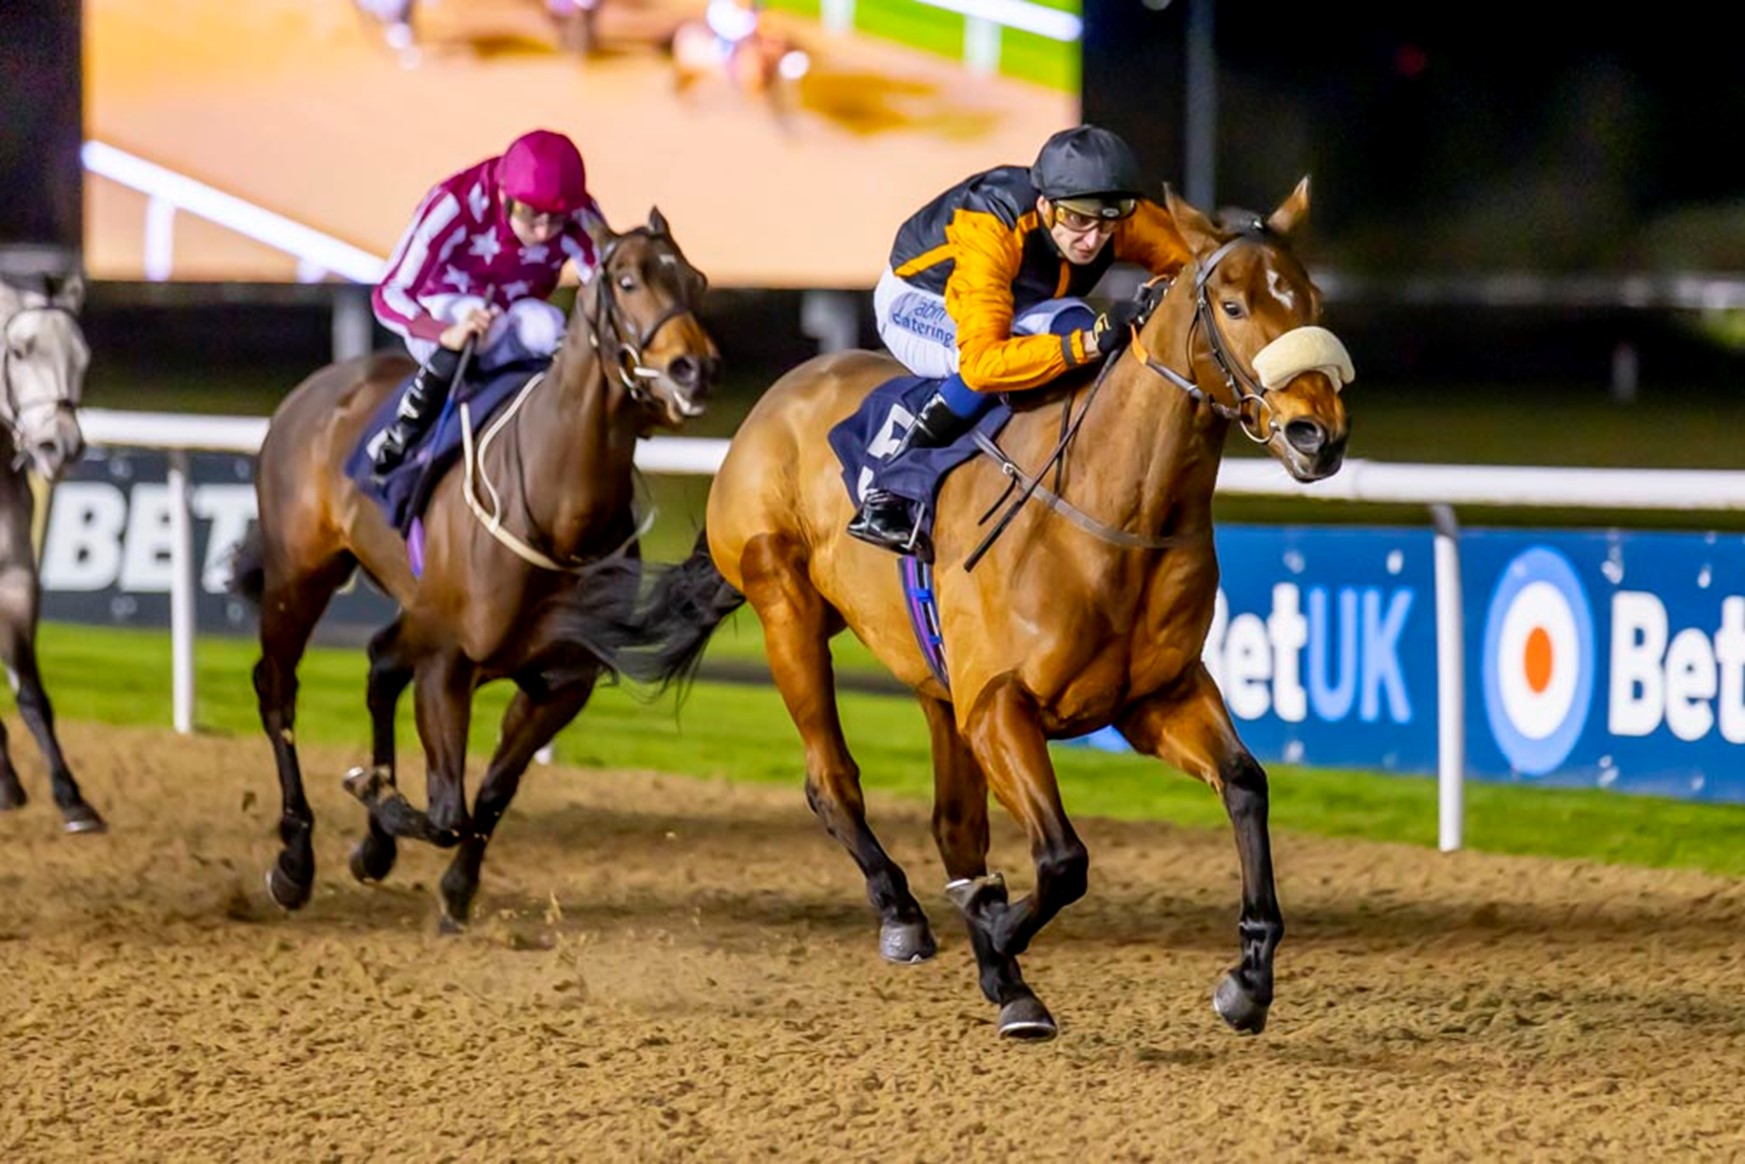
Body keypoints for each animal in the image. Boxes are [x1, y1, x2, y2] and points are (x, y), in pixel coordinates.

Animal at [228, 209, 718, 928]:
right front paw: (374, 798)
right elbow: (446, 812)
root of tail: (314, 390)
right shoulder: (449, 666)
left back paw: (371, 844)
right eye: (627, 280)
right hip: (301, 576)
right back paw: (295, 858)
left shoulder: (558, 681)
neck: (554, 506)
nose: (694, 369)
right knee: (277, 689)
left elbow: (489, 795)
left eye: (697, 280)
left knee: (380, 663)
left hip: (414, 607)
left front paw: (450, 886)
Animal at [568, 184, 1347, 1047]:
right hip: (787, 612)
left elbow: (1245, 785)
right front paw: (999, 947)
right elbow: (1062, 860)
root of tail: (780, 395)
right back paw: (903, 913)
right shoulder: (1000, 706)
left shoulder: (1155, 696)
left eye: (1310, 301)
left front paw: (1247, 980)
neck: (1108, 508)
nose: (1316, 434)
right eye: (1234, 305)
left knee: (953, 823)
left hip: (932, 679)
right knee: (831, 779)